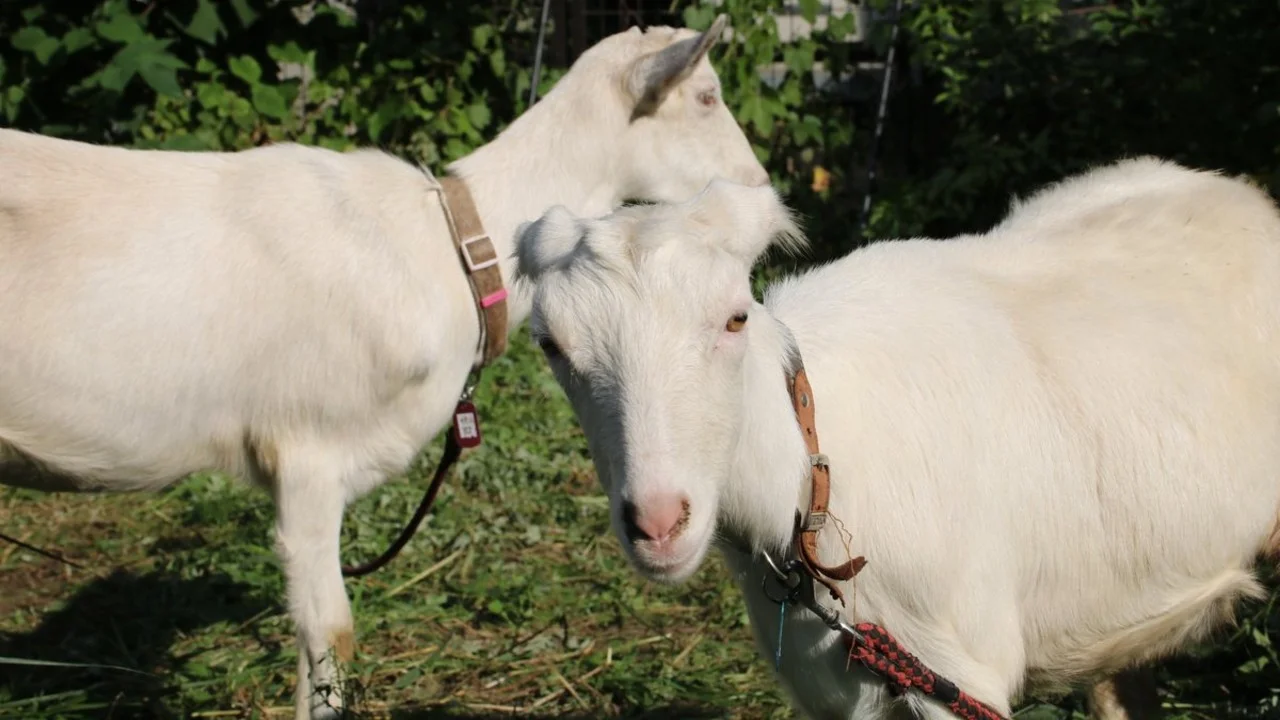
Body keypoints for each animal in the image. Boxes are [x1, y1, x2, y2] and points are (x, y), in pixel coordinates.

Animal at [516, 158, 1280, 719]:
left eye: (735, 317)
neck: (815, 475)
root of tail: (1244, 197)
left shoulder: (958, 671)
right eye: (550, 344)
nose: (658, 522)